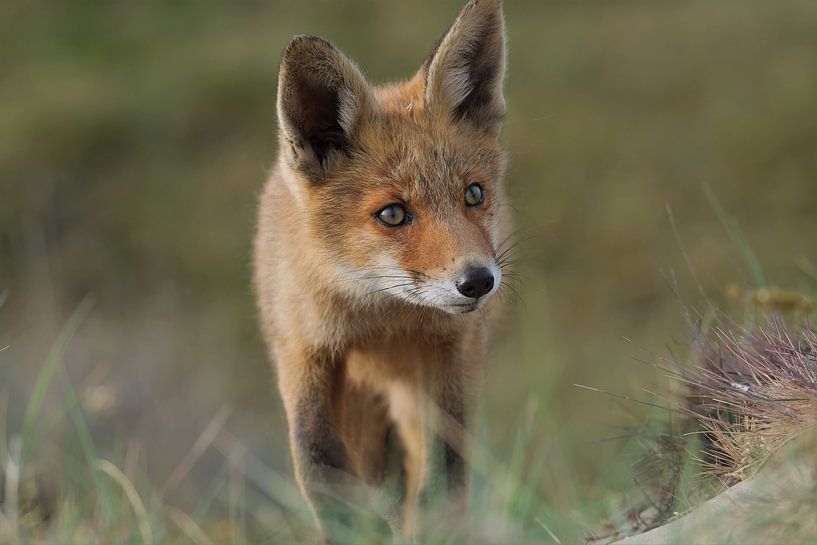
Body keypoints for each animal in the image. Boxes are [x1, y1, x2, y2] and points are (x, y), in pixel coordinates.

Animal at [253, 0, 510, 541]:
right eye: (393, 214)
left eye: (474, 194)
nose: (478, 281)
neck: (381, 321)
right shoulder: (305, 358)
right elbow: (320, 471)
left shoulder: (449, 355)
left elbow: (445, 471)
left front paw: (435, 529)